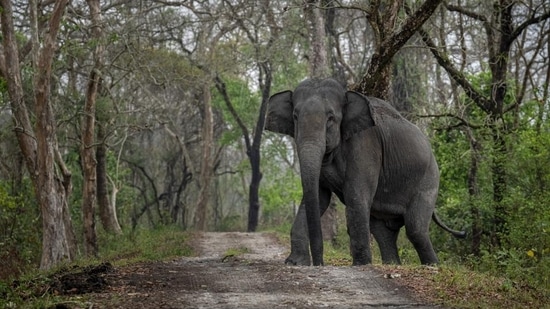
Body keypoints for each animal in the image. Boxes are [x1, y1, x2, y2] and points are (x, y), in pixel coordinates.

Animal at [268, 77, 466, 264]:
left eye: (331, 118)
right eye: (295, 116)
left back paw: (432, 266)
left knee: (415, 229)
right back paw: (392, 264)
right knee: (382, 231)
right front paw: (294, 263)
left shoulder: (365, 145)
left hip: (429, 180)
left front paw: (361, 265)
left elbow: (355, 195)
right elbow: (319, 197)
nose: (319, 263)